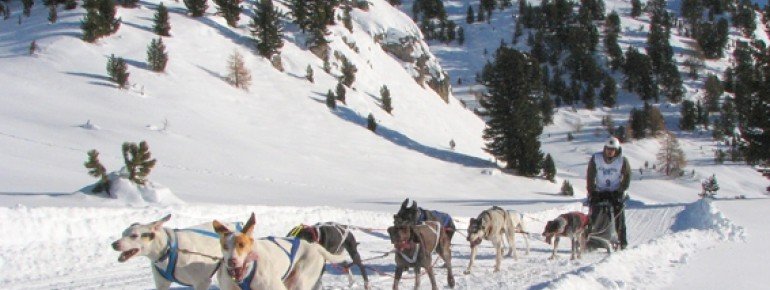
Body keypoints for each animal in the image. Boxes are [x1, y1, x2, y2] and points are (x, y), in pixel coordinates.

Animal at [111, 214, 240, 288]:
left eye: (134, 235)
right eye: (123, 234)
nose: (113, 244)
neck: (169, 250)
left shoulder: (202, 282)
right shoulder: (161, 284)